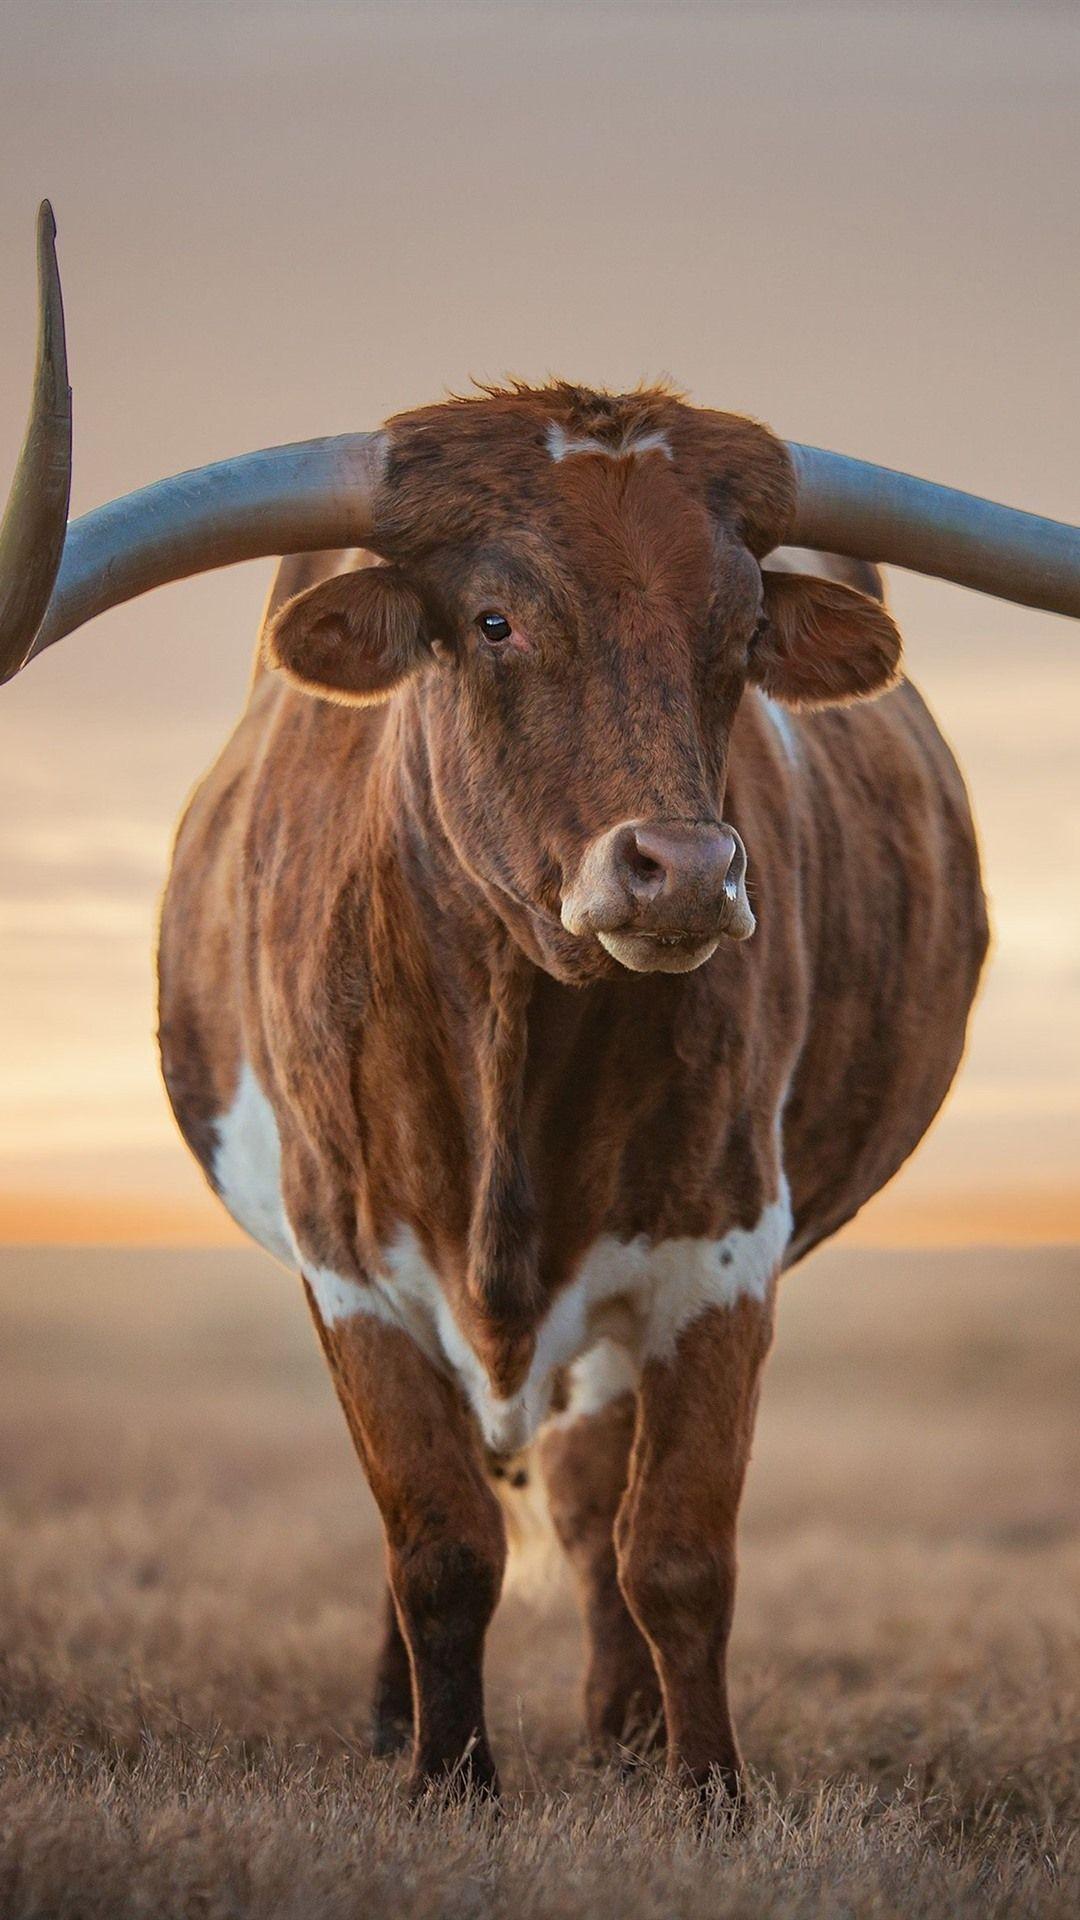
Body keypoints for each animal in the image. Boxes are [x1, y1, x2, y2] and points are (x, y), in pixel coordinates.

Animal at [3, 205, 1079, 1802]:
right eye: (497, 618)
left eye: (741, 633)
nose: (685, 870)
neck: (514, 1029)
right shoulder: (348, 1261)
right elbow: (438, 1542)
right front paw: (447, 1778)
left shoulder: (717, 1251)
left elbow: (676, 1552)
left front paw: (704, 1793)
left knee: (585, 1500)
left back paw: (622, 1734)